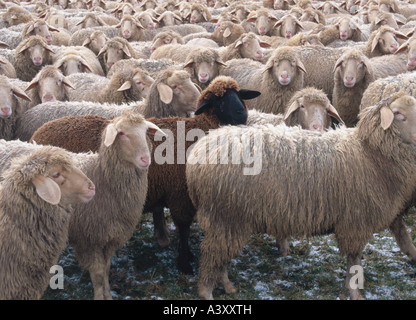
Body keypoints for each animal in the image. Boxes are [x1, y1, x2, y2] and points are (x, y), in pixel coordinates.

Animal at [30, 76, 260, 274]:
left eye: (238, 95)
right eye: (219, 101)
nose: (241, 114)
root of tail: (37, 135)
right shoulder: (180, 195)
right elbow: (184, 229)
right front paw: (185, 262)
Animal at [186, 92, 416, 300]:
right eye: (398, 113)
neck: (370, 152)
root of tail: (199, 152)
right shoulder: (354, 223)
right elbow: (354, 261)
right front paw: (355, 293)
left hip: (228, 220)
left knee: (220, 256)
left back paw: (227, 286)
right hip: (226, 216)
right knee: (212, 255)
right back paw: (206, 292)